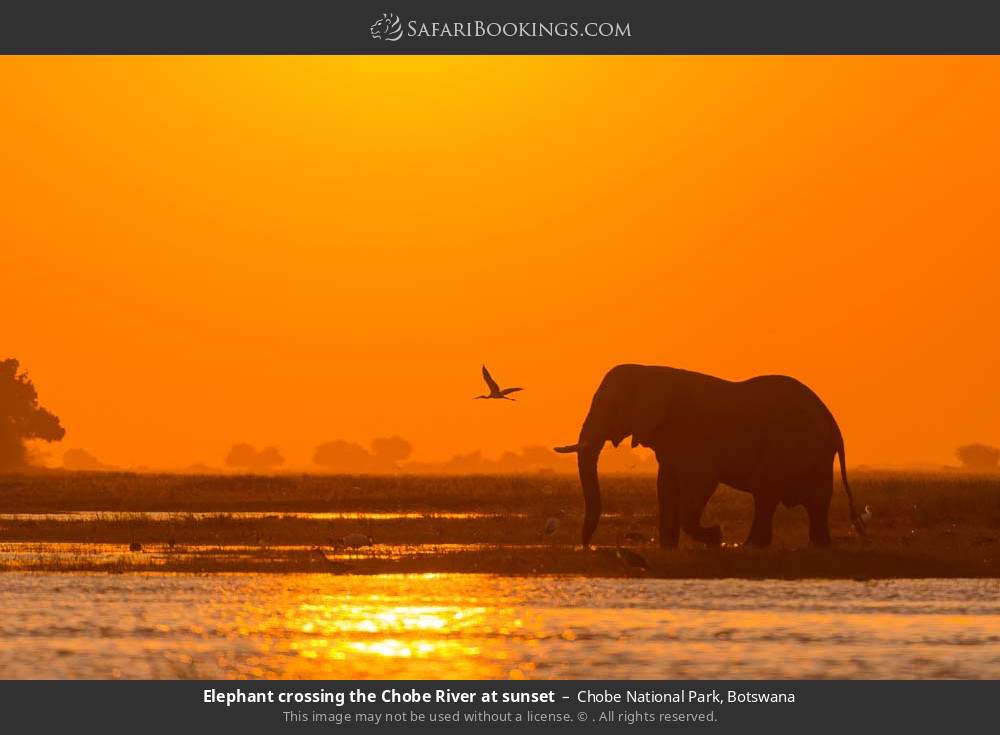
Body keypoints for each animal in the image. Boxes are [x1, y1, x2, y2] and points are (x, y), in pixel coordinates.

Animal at [552, 366, 864, 548]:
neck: (652, 372)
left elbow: (700, 483)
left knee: (769, 495)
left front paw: (715, 536)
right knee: (810, 501)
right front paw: (668, 547)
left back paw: (753, 546)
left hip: (794, 447)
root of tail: (834, 425)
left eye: (610, 406)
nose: (587, 546)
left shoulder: (695, 435)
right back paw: (816, 545)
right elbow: (665, 484)